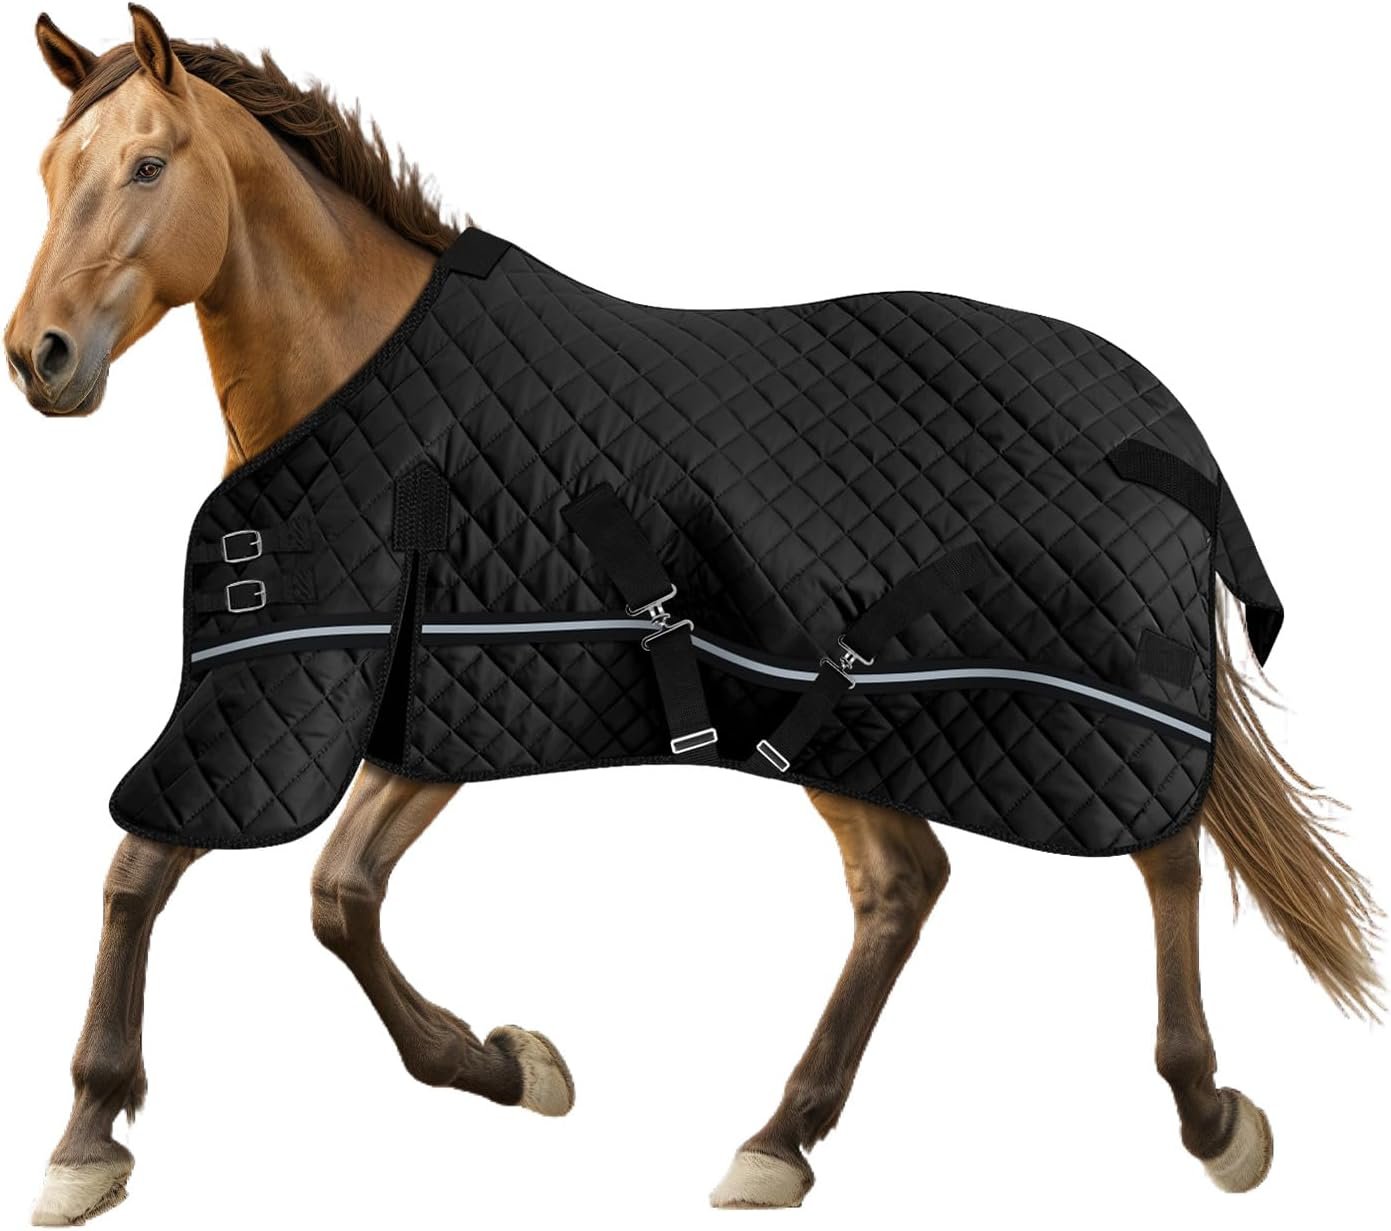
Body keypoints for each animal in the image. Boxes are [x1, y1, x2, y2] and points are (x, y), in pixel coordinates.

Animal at [6, 7, 1381, 1224]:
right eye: (50, 169)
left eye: (146, 164)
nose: (41, 357)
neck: (367, 383)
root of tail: (1163, 429)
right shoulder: (412, 698)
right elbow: (288, 890)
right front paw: (498, 1065)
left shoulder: (349, 689)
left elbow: (211, 875)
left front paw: (90, 1136)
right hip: (870, 725)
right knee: (917, 882)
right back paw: (788, 1138)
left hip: (1018, 709)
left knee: (1153, 857)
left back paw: (1199, 1113)